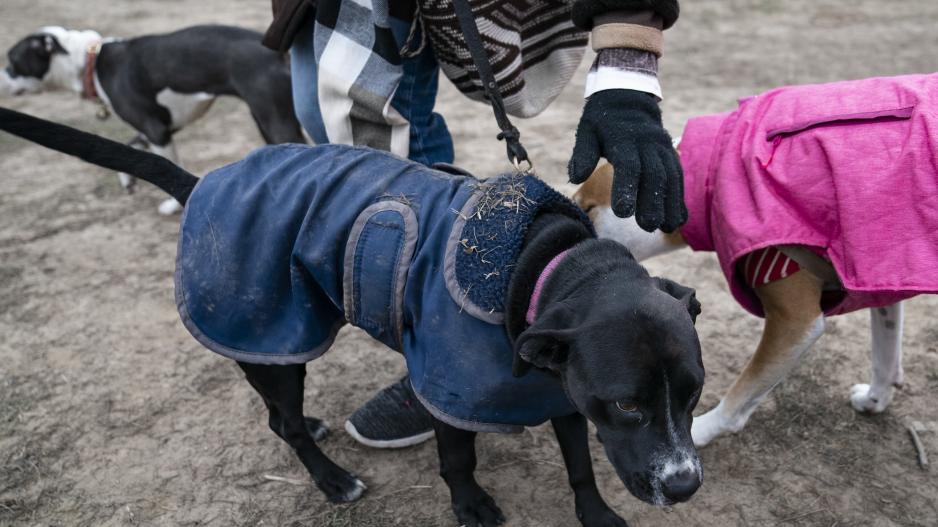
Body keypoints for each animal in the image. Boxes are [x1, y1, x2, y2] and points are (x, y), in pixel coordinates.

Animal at [0, 107, 704, 527]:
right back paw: (333, 480)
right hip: (271, 330)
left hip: (270, 347)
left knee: (278, 414)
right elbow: (458, 460)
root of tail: (203, 184)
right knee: (284, 421)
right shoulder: (447, 390)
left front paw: (596, 514)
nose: (685, 486)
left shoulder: (562, 391)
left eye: (695, 395)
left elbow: (581, 462)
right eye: (629, 405)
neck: (543, 264)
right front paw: (472, 507)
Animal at [1, 24, 304, 214]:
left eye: (13, 62)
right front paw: (127, 180)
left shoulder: (157, 130)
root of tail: (280, 53)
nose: (1, 75)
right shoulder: (156, 127)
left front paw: (173, 206)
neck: (89, 62)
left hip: (276, 121)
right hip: (265, 121)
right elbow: (132, 146)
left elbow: (168, 163)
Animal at [576, 163, 904, 448]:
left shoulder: (795, 320)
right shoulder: (884, 284)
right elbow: (885, 354)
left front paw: (700, 430)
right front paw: (876, 399)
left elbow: (743, 393)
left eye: (588, 208)